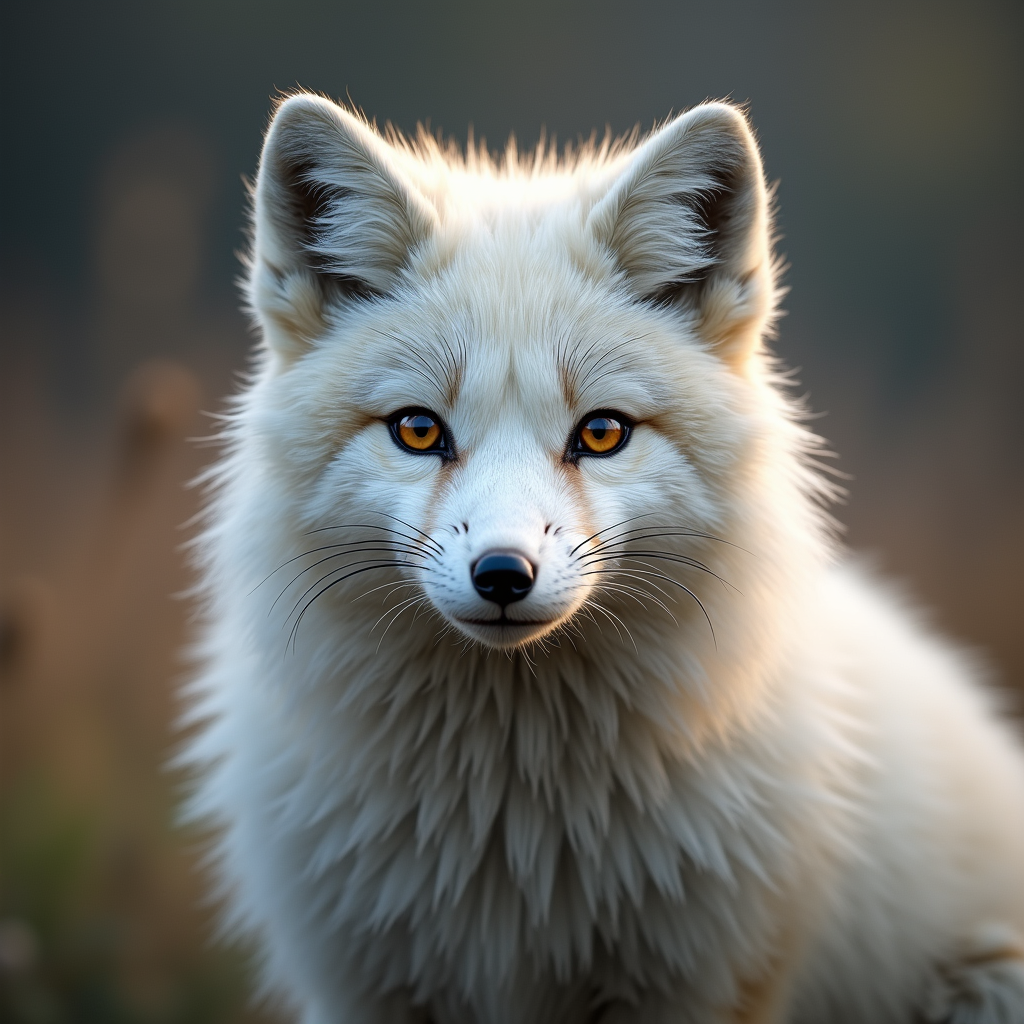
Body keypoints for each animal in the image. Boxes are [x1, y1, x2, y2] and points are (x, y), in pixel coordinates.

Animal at [182, 93, 1024, 1023]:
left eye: (602, 433)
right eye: (419, 430)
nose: (503, 575)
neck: (510, 823)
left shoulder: (698, 982)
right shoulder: (367, 990)